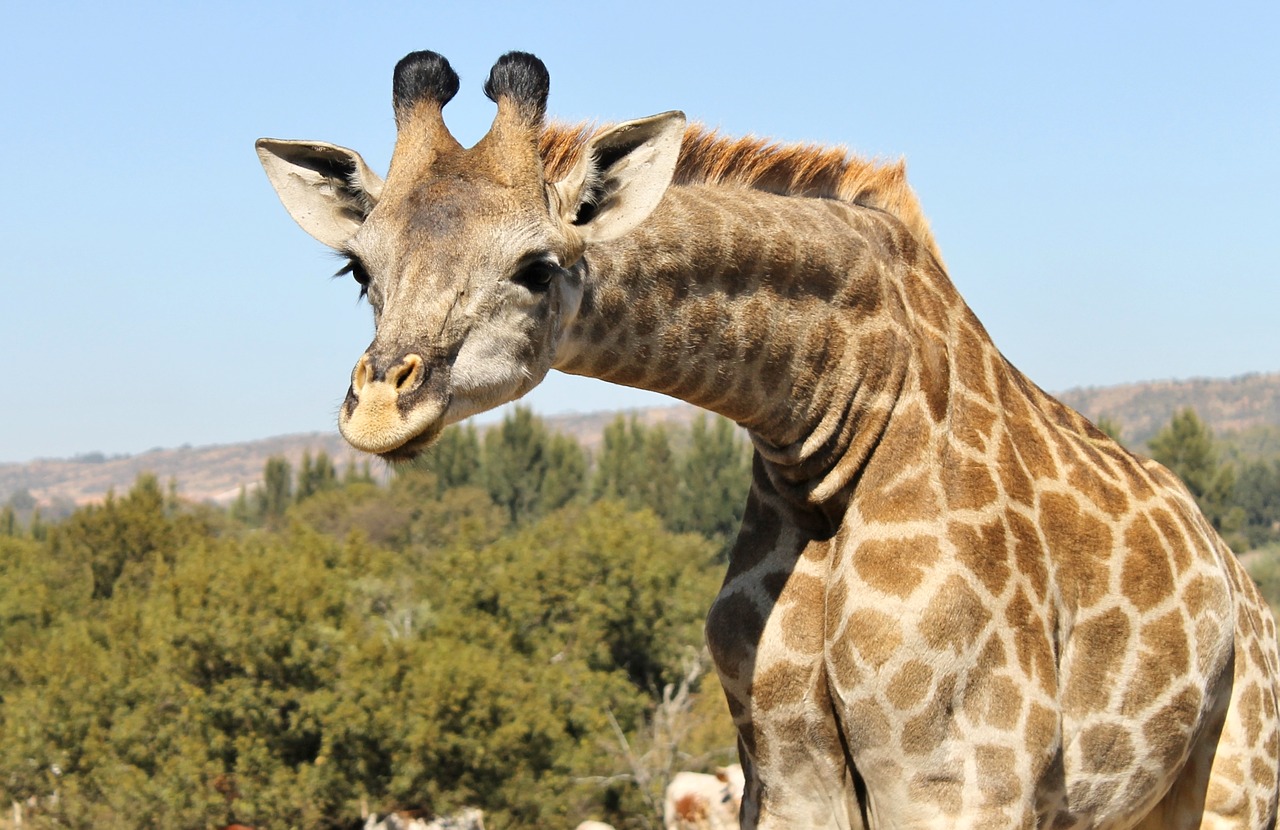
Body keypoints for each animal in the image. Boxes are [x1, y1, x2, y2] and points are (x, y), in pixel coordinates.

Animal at [259, 51, 1280, 830]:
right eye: (358, 270)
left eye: (537, 266)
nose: (380, 409)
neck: (830, 433)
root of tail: (1238, 581)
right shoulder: (789, 777)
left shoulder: (963, 781)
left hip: (1232, 784)